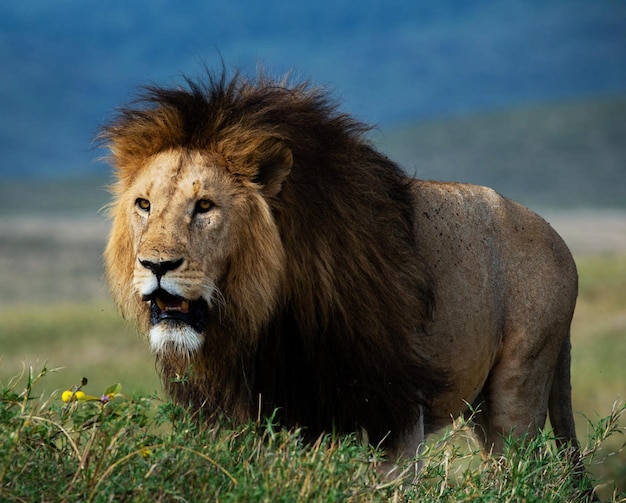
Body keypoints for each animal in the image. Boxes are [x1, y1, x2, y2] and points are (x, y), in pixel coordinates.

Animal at [100, 73, 584, 482]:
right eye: (144, 204)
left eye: (204, 206)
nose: (156, 266)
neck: (259, 319)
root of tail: (559, 240)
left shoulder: (394, 405)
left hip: (519, 383)